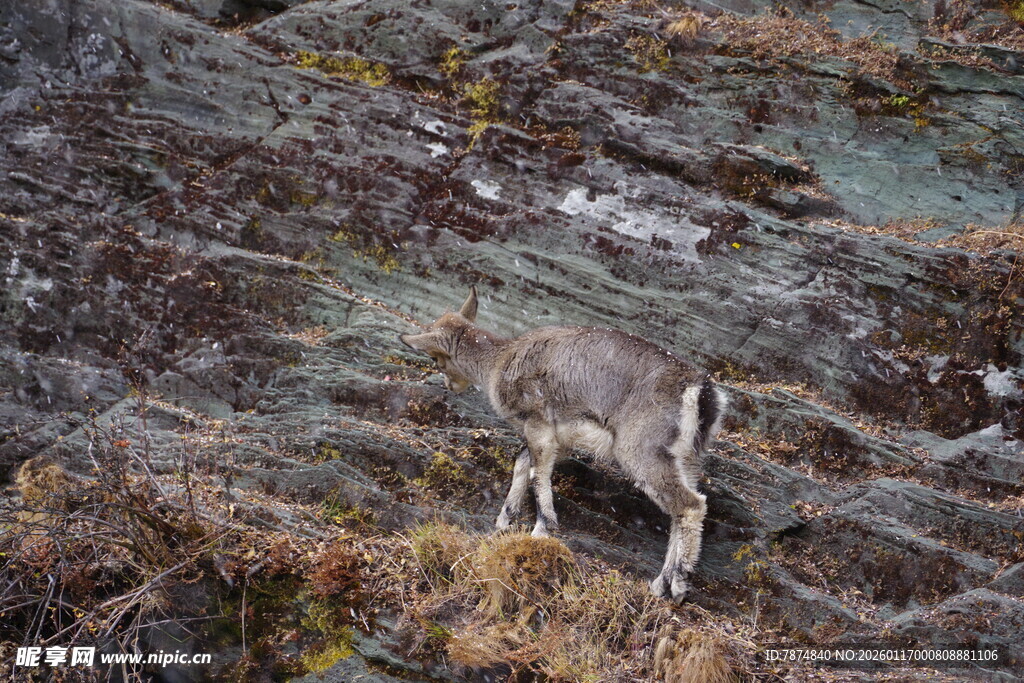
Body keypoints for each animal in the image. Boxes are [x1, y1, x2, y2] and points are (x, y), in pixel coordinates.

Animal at [399, 287, 727, 602]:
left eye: (435, 357)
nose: (449, 385)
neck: (499, 363)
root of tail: (702, 393)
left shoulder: (539, 423)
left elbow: (538, 474)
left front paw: (542, 529)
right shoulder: (560, 438)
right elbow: (523, 463)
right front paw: (505, 520)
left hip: (640, 450)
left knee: (690, 505)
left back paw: (676, 585)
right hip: (686, 458)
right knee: (683, 508)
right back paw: (662, 583)